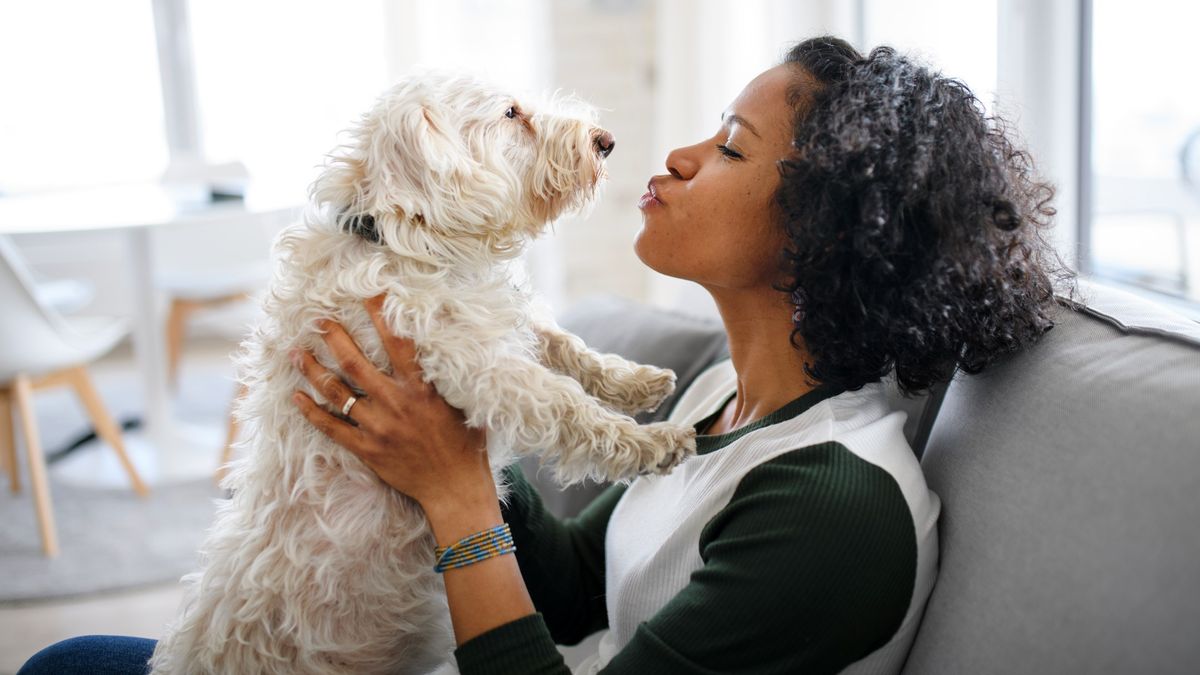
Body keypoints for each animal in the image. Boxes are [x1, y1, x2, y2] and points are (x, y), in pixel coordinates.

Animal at [146, 73, 700, 672]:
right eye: (512, 114)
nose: (606, 141)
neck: (401, 240)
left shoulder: (499, 322)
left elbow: (564, 343)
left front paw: (638, 381)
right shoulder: (477, 364)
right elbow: (567, 406)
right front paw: (656, 442)